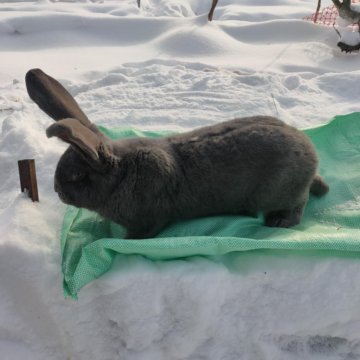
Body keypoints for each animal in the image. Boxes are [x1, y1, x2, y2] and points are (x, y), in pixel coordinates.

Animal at [25, 69, 330, 240]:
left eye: (77, 175)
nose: (57, 190)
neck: (121, 173)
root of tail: (312, 156)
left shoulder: (147, 221)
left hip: (279, 192)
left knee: (300, 202)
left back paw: (279, 220)